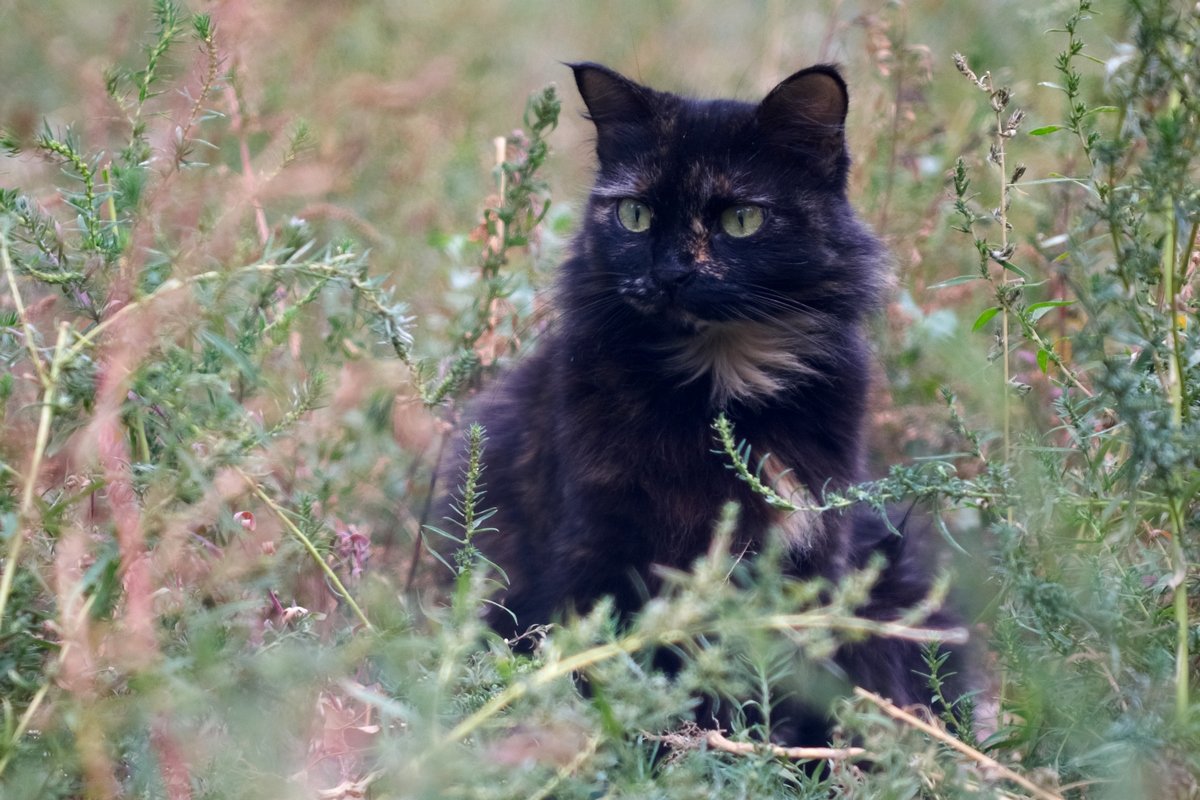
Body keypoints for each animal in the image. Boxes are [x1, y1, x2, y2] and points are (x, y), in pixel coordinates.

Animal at [436, 61, 969, 743]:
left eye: (740, 220)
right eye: (634, 214)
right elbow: (602, 669)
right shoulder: (595, 547)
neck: (720, 387)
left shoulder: (808, 556)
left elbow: (776, 688)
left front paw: (761, 751)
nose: (670, 274)